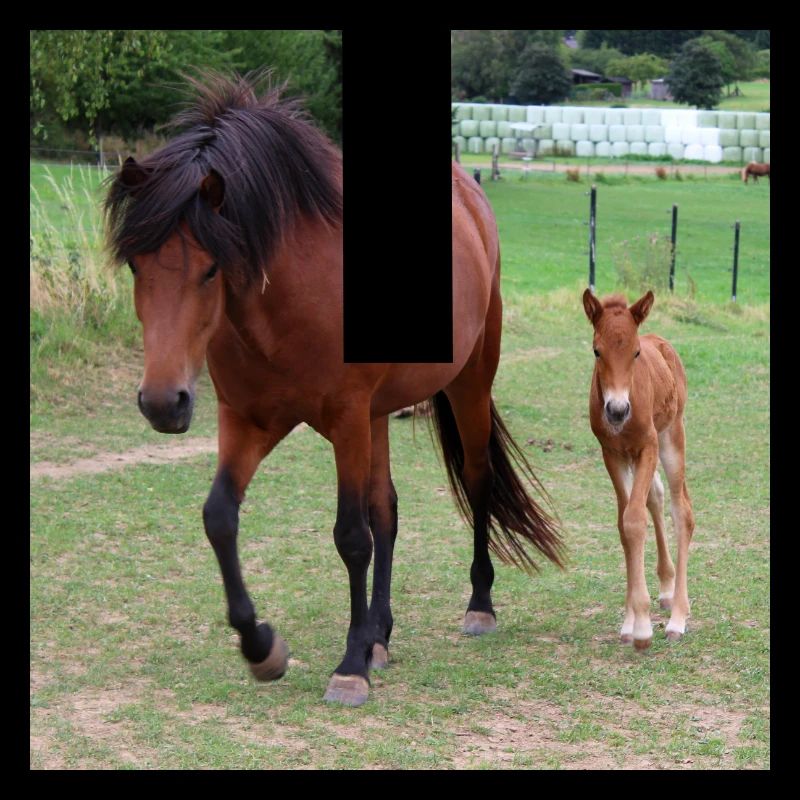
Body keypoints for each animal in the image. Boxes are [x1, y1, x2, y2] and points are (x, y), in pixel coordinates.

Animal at [104, 70, 565, 707]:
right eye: (136, 266)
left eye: (211, 268)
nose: (161, 402)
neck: (289, 298)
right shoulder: (249, 419)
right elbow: (221, 517)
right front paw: (263, 648)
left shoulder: (345, 418)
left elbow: (351, 536)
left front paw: (349, 666)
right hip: (379, 414)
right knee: (387, 509)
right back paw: (381, 635)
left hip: (468, 382)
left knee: (476, 482)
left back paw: (478, 605)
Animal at [582, 290, 695, 650]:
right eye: (597, 350)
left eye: (635, 352)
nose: (617, 410)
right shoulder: (612, 455)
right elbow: (624, 524)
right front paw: (631, 622)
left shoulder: (648, 447)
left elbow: (634, 520)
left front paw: (643, 628)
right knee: (654, 498)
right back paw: (666, 589)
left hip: (672, 436)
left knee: (681, 510)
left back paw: (678, 617)